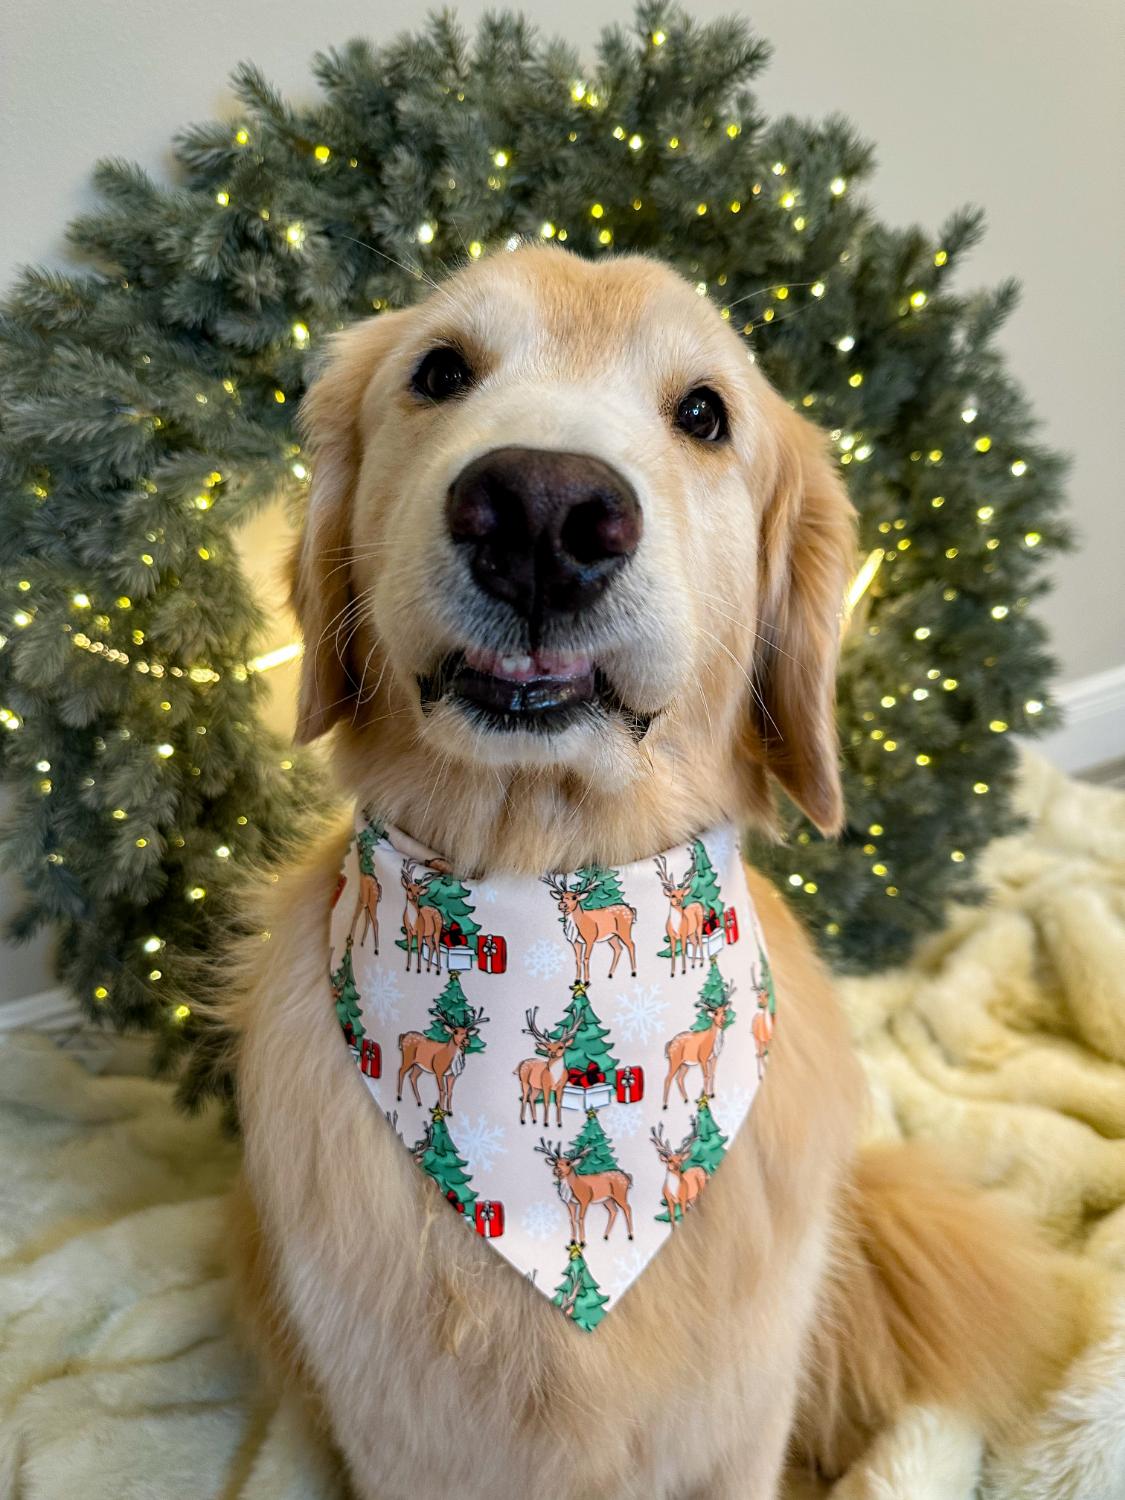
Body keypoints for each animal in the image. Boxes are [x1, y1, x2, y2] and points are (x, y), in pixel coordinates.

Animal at [662, 978, 735, 1108]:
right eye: (715, 1013)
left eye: (724, 1012)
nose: (723, 1020)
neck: (714, 1044)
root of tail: (669, 1044)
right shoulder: (703, 1057)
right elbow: (705, 1076)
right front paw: (705, 1097)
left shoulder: (714, 1057)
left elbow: (712, 1074)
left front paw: (712, 1094)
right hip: (674, 1059)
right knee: (667, 1078)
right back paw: (665, 1105)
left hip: (685, 1064)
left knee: (679, 1078)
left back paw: (686, 1099)